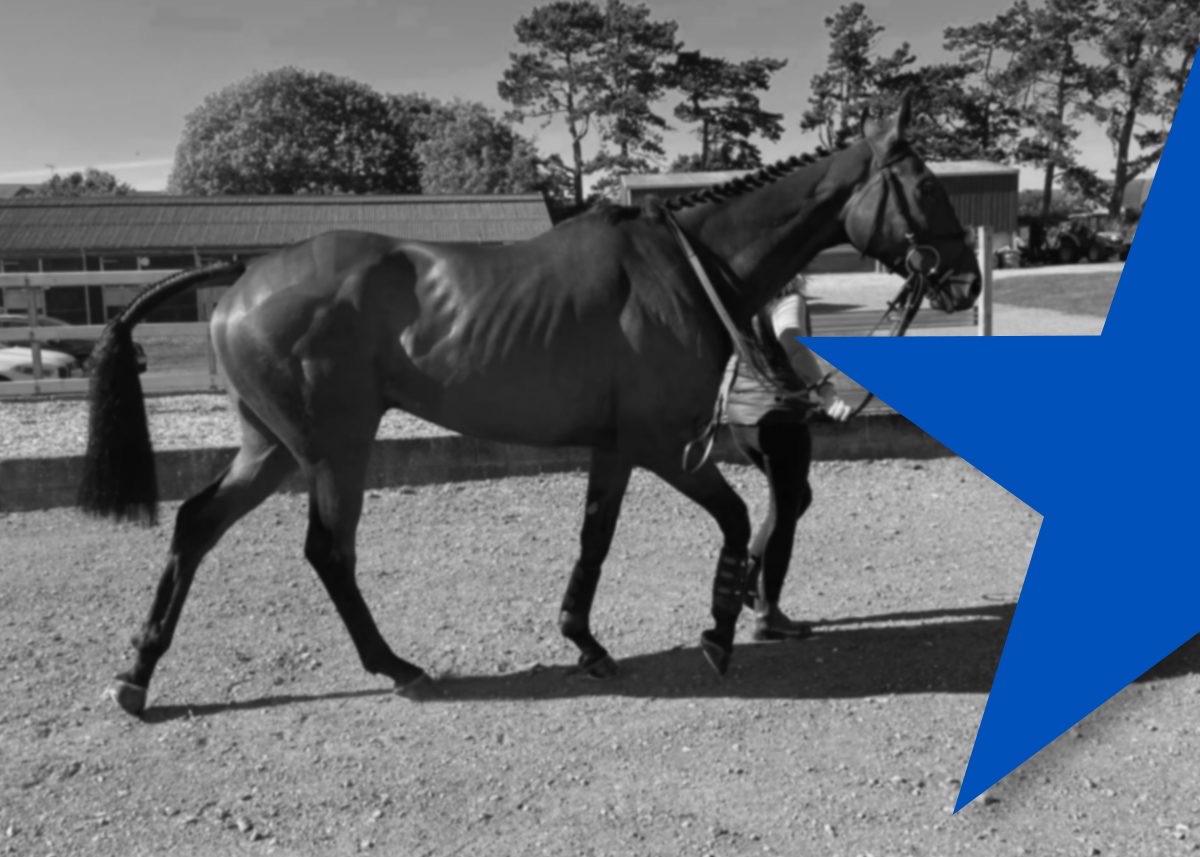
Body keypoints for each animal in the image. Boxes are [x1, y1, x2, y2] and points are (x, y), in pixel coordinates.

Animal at [78, 96, 980, 716]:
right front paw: (719, 633)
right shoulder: (662, 443)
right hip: (331, 447)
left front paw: (584, 639)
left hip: (271, 446)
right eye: (926, 185)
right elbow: (730, 523)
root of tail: (244, 274)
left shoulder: (616, 448)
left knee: (197, 525)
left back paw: (136, 673)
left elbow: (595, 538)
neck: (683, 269)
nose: (965, 280)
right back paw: (396, 665)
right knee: (328, 551)